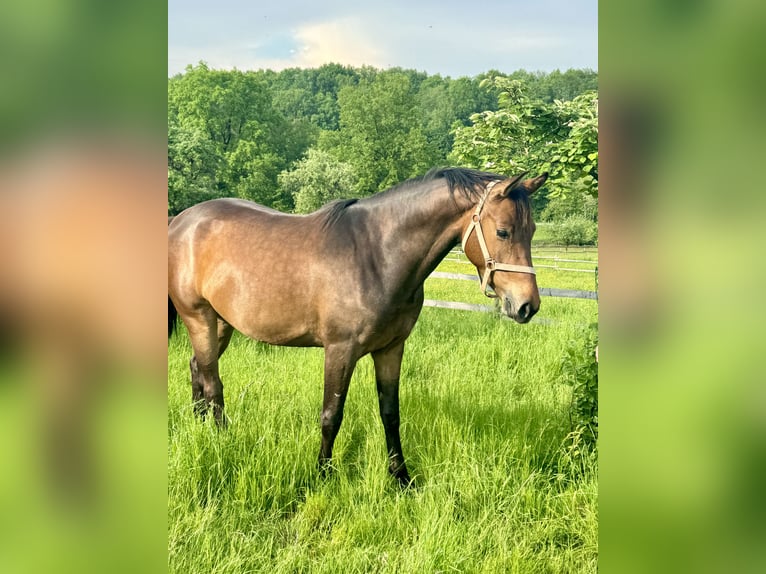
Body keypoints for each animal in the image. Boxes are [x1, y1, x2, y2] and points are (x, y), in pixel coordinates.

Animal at [170, 166, 548, 486]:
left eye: (531, 231)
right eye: (503, 231)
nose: (527, 305)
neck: (377, 254)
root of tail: (182, 222)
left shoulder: (391, 348)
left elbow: (390, 413)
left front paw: (401, 477)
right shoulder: (341, 350)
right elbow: (331, 415)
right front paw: (323, 475)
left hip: (221, 322)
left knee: (197, 369)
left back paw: (199, 428)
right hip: (199, 317)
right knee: (213, 383)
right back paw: (221, 439)